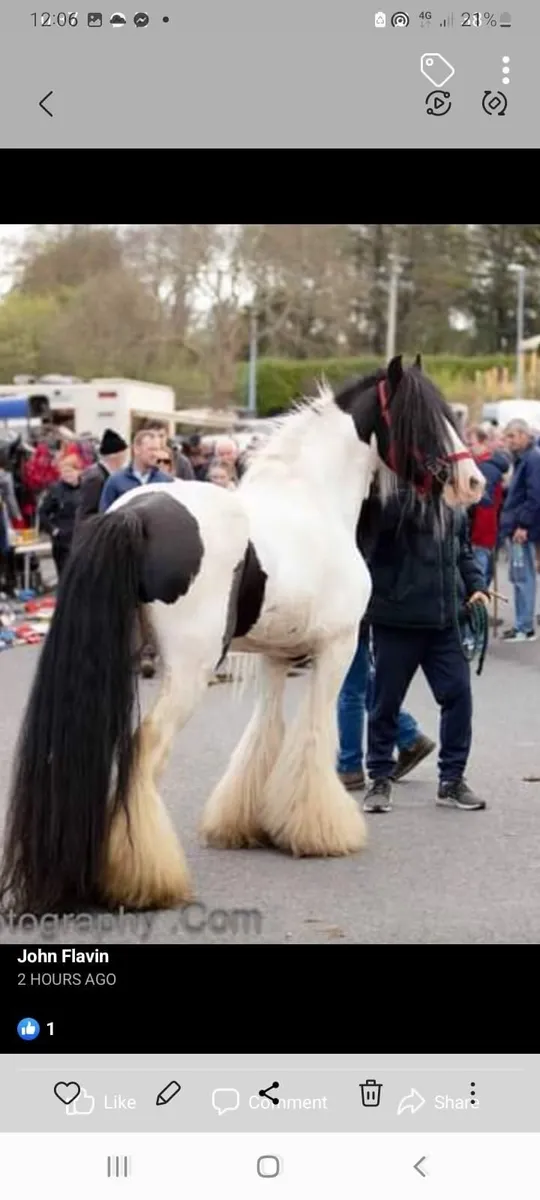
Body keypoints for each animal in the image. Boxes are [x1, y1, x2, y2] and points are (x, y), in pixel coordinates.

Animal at [0, 355, 485, 915]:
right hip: (189, 672)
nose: (474, 482)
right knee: (145, 751)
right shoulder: (336, 650)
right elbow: (313, 735)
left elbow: (264, 734)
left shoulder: (277, 657)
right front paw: (320, 830)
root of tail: (133, 514)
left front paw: (248, 823)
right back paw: (144, 878)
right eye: (422, 417)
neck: (312, 502)